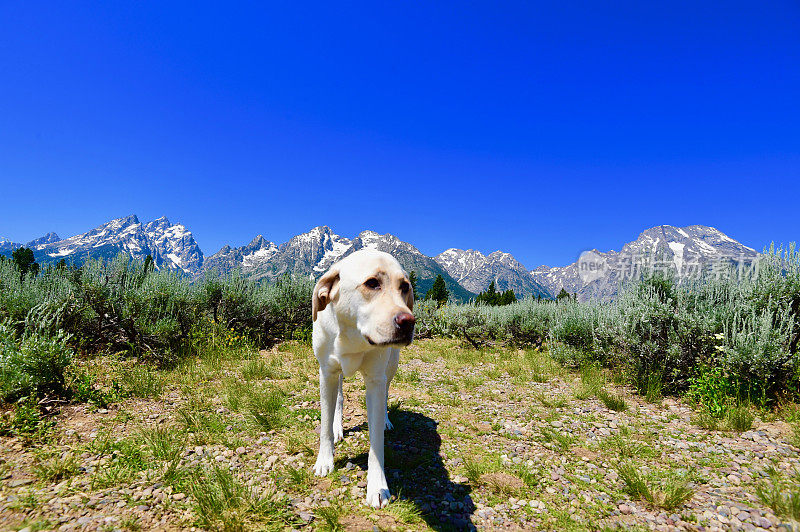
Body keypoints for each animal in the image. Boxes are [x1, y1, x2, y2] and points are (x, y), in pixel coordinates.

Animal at [310, 249, 416, 508]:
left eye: (405, 287)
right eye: (372, 283)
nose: (409, 322)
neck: (353, 336)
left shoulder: (376, 380)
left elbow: (376, 442)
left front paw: (377, 487)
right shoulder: (326, 373)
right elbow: (325, 423)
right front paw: (325, 460)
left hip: (391, 366)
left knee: (387, 392)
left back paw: (386, 420)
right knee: (339, 398)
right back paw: (338, 427)